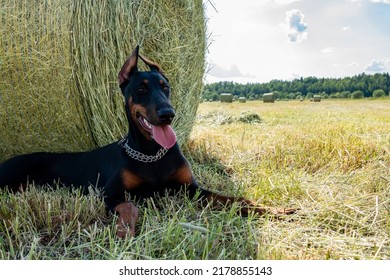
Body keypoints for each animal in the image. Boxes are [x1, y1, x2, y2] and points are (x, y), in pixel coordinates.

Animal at [0, 46, 294, 238]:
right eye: (141, 89)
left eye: (166, 87)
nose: (168, 114)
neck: (152, 154)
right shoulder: (109, 193)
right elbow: (130, 206)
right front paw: (124, 231)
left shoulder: (191, 189)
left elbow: (237, 200)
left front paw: (275, 209)